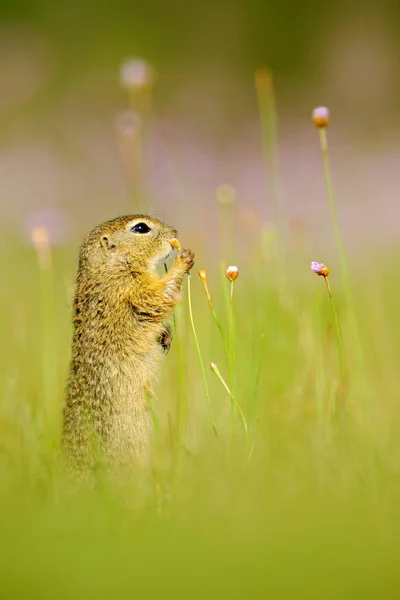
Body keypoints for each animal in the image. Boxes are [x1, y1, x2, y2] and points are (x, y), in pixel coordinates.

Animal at [61, 216, 195, 478]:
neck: (109, 266)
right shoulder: (131, 289)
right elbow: (157, 297)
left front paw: (165, 336)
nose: (175, 232)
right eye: (141, 228)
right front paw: (183, 260)